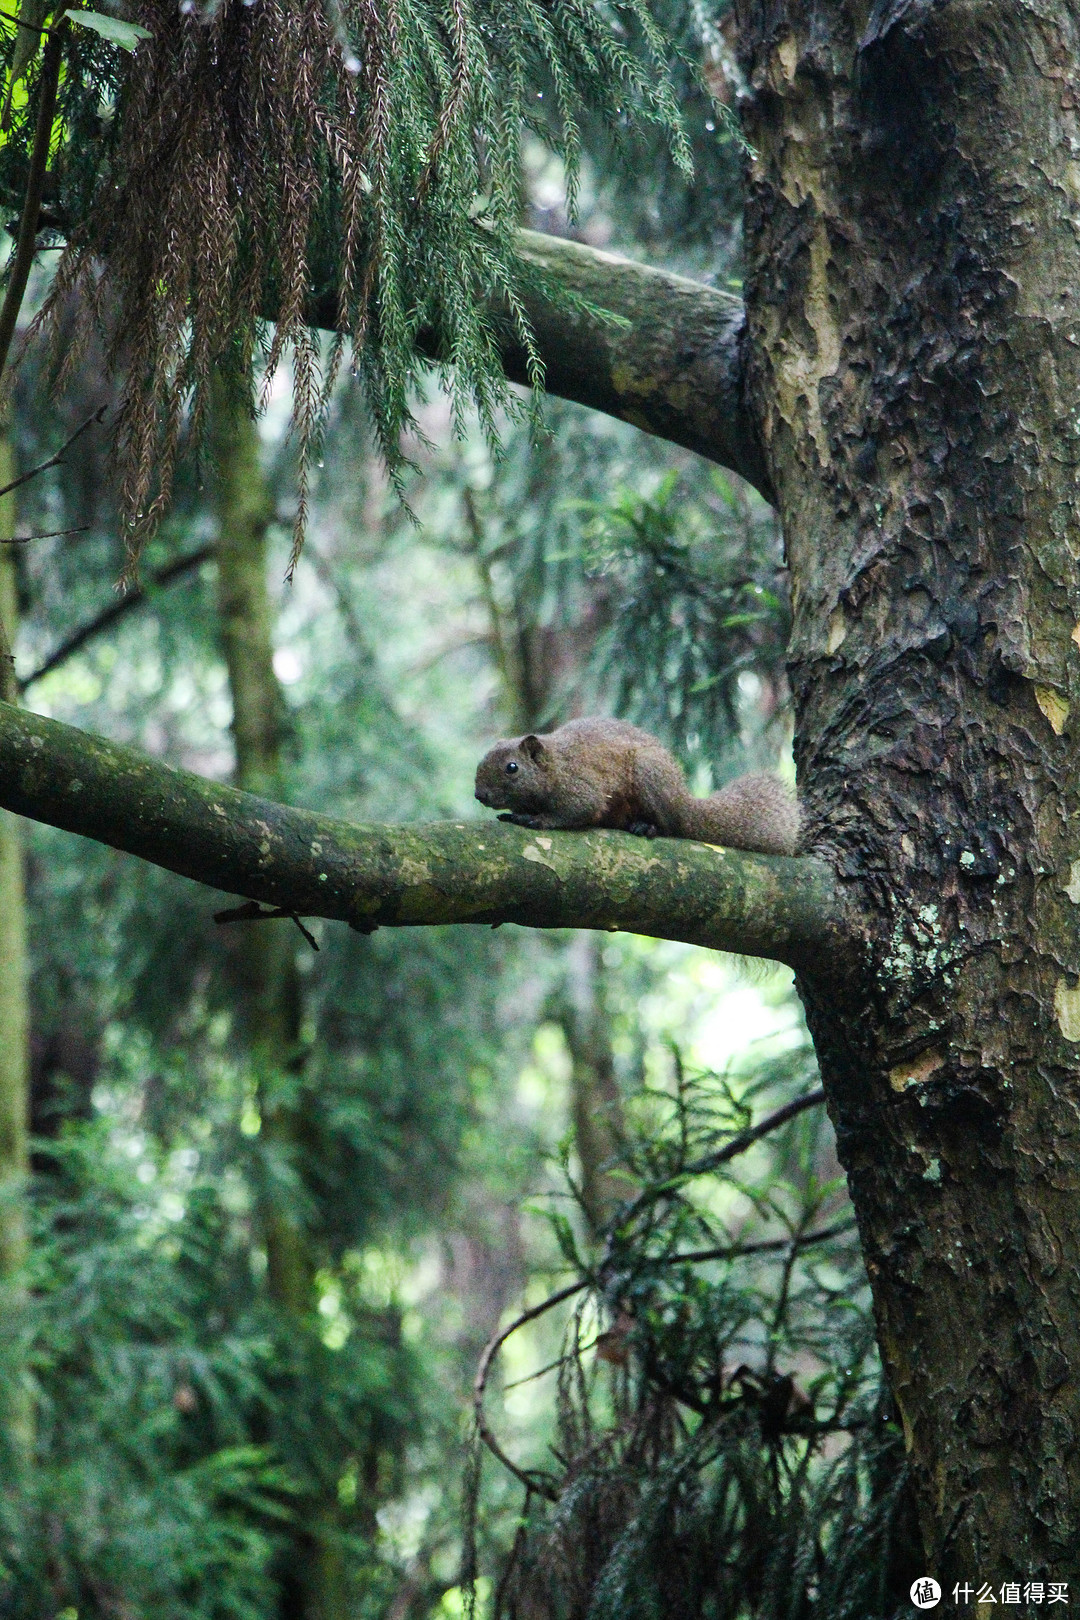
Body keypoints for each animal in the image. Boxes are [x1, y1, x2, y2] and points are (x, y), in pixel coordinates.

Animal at [476, 716, 803, 855]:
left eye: (512, 768)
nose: (479, 795)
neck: (554, 765)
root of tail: (684, 804)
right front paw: (515, 814)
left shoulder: (579, 786)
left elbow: (578, 810)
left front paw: (537, 819)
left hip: (649, 775)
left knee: (671, 826)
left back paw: (648, 826)